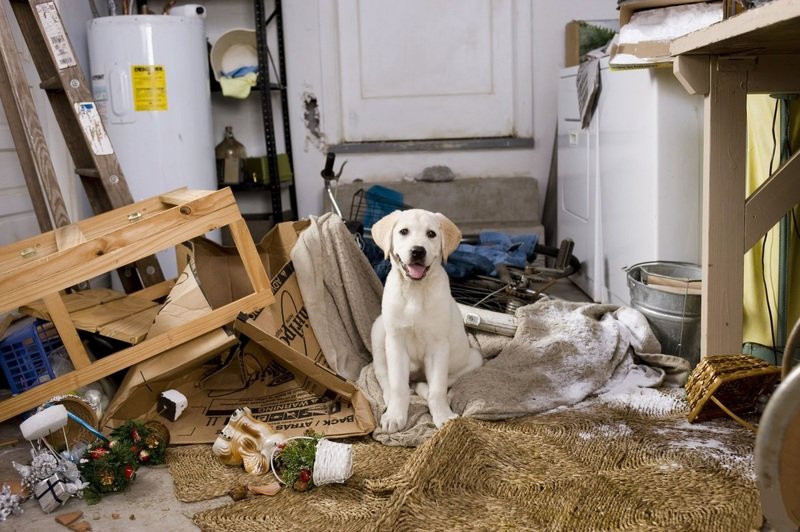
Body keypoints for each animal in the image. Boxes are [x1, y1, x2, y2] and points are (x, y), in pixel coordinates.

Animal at [368, 208, 482, 432]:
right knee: (383, 375)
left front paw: (443, 416)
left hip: (473, 358)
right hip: (378, 331)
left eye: (431, 234)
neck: (415, 290)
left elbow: (438, 387)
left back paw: (423, 388)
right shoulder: (395, 341)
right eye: (404, 231)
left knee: (437, 383)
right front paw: (395, 415)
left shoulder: (438, 345)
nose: (418, 251)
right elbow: (398, 385)